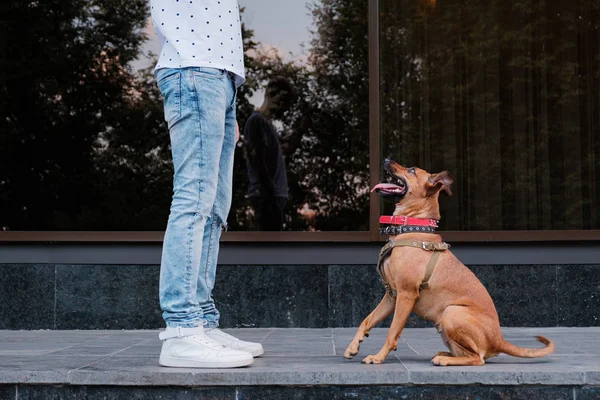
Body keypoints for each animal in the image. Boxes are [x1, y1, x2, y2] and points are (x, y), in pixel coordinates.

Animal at [344, 159, 556, 366]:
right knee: (470, 354)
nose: (386, 159)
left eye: (411, 169)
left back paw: (444, 359)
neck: (413, 227)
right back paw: (444, 354)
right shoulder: (391, 295)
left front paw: (378, 357)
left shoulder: (406, 294)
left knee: (478, 359)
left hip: (452, 312)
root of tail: (499, 341)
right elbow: (367, 319)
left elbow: (392, 332)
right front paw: (353, 346)